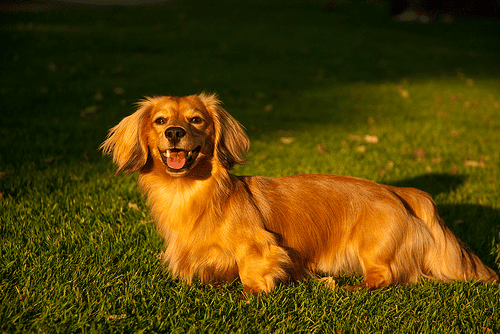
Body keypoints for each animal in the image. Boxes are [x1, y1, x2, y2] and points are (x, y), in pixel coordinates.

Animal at [100, 92, 496, 294]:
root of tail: (398, 193)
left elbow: (251, 273)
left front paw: (249, 295)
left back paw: (345, 288)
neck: (191, 193)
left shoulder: (262, 248)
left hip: (373, 247)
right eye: (160, 121)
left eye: (196, 120)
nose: (175, 133)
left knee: (384, 277)